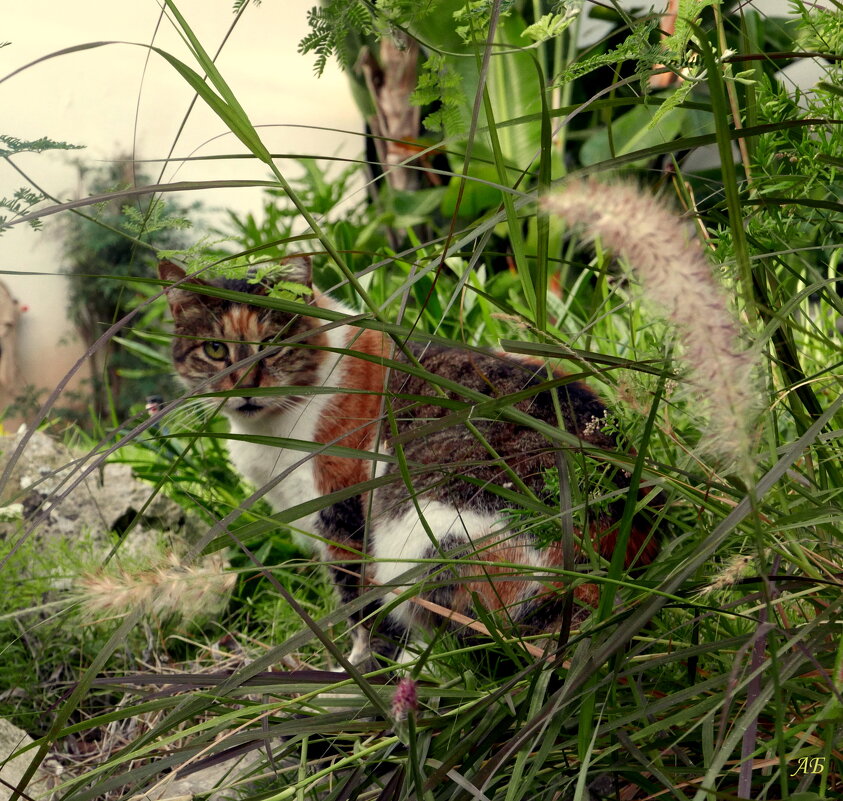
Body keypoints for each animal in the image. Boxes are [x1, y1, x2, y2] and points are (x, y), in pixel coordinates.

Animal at [160, 256, 660, 664]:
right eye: (216, 350)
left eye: (272, 344)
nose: (244, 385)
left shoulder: (342, 509)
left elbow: (359, 604)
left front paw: (359, 663)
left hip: (419, 535)